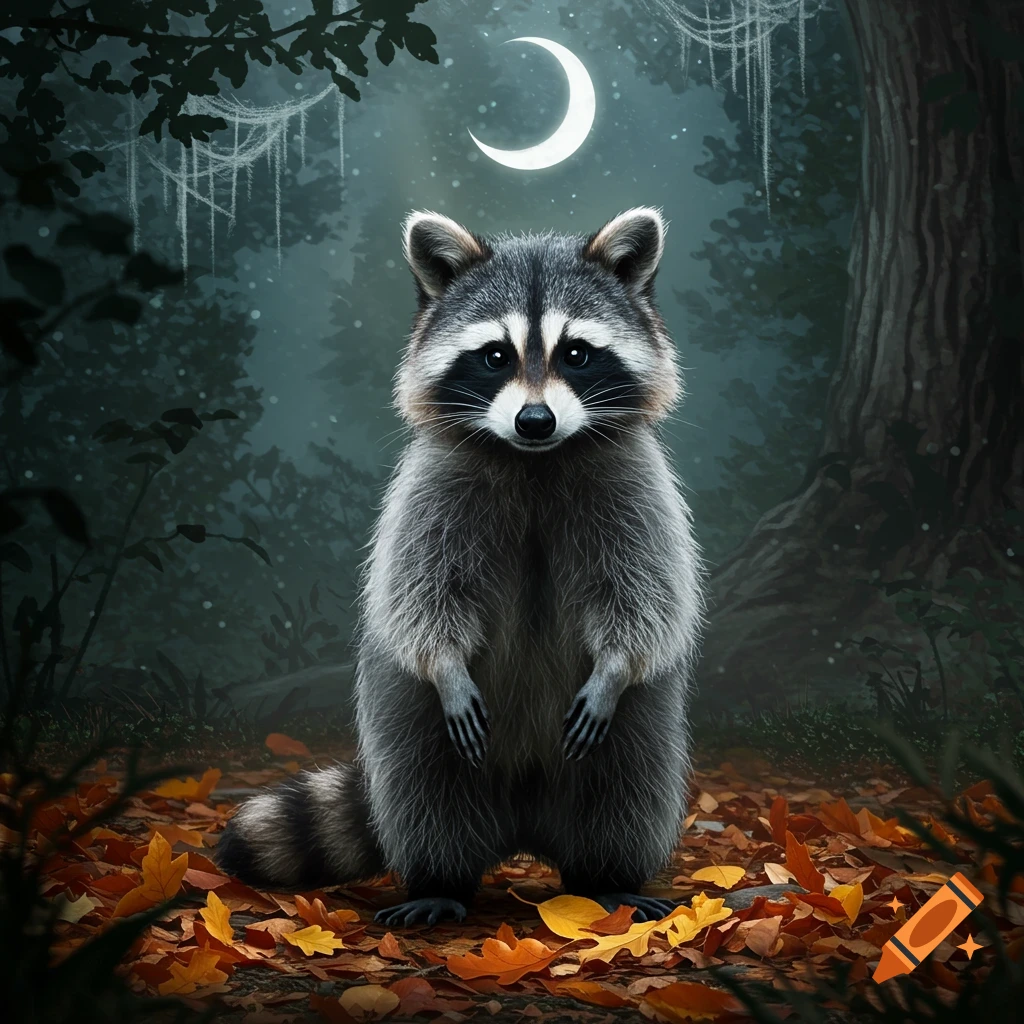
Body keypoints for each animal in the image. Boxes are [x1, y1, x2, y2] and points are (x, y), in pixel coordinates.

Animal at [217, 207, 705, 927]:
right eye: (495, 355)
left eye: (577, 353)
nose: (535, 420)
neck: (534, 461)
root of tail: (524, 828)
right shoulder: (432, 490)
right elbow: (421, 595)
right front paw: (445, 664)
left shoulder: (634, 487)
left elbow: (646, 596)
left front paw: (615, 667)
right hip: (407, 717)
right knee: (425, 789)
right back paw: (438, 882)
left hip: (640, 728)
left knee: (627, 786)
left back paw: (605, 878)